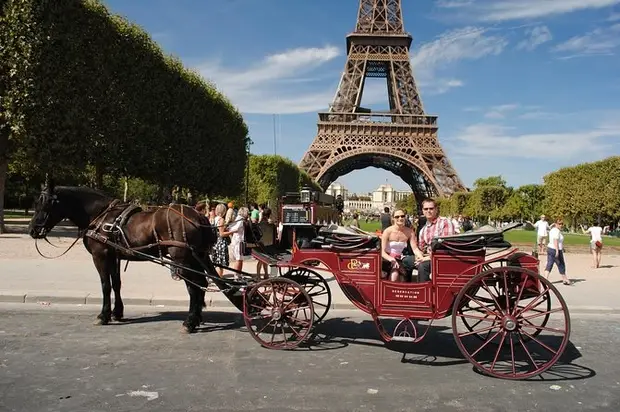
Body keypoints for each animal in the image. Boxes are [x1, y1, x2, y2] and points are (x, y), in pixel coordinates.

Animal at [29, 183, 218, 332]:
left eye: (45, 203)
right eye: (36, 202)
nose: (32, 230)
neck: (100, 215)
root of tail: (198, 215)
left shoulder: (100, 256)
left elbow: (105, 285)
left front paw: (103, 315)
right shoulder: (114, 256)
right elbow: (116, 284)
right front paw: (117, 312)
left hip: (182, 259)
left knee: (194, 287)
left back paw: (190, 322)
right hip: (196, 257)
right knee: (201, 283)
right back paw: (197, 318)